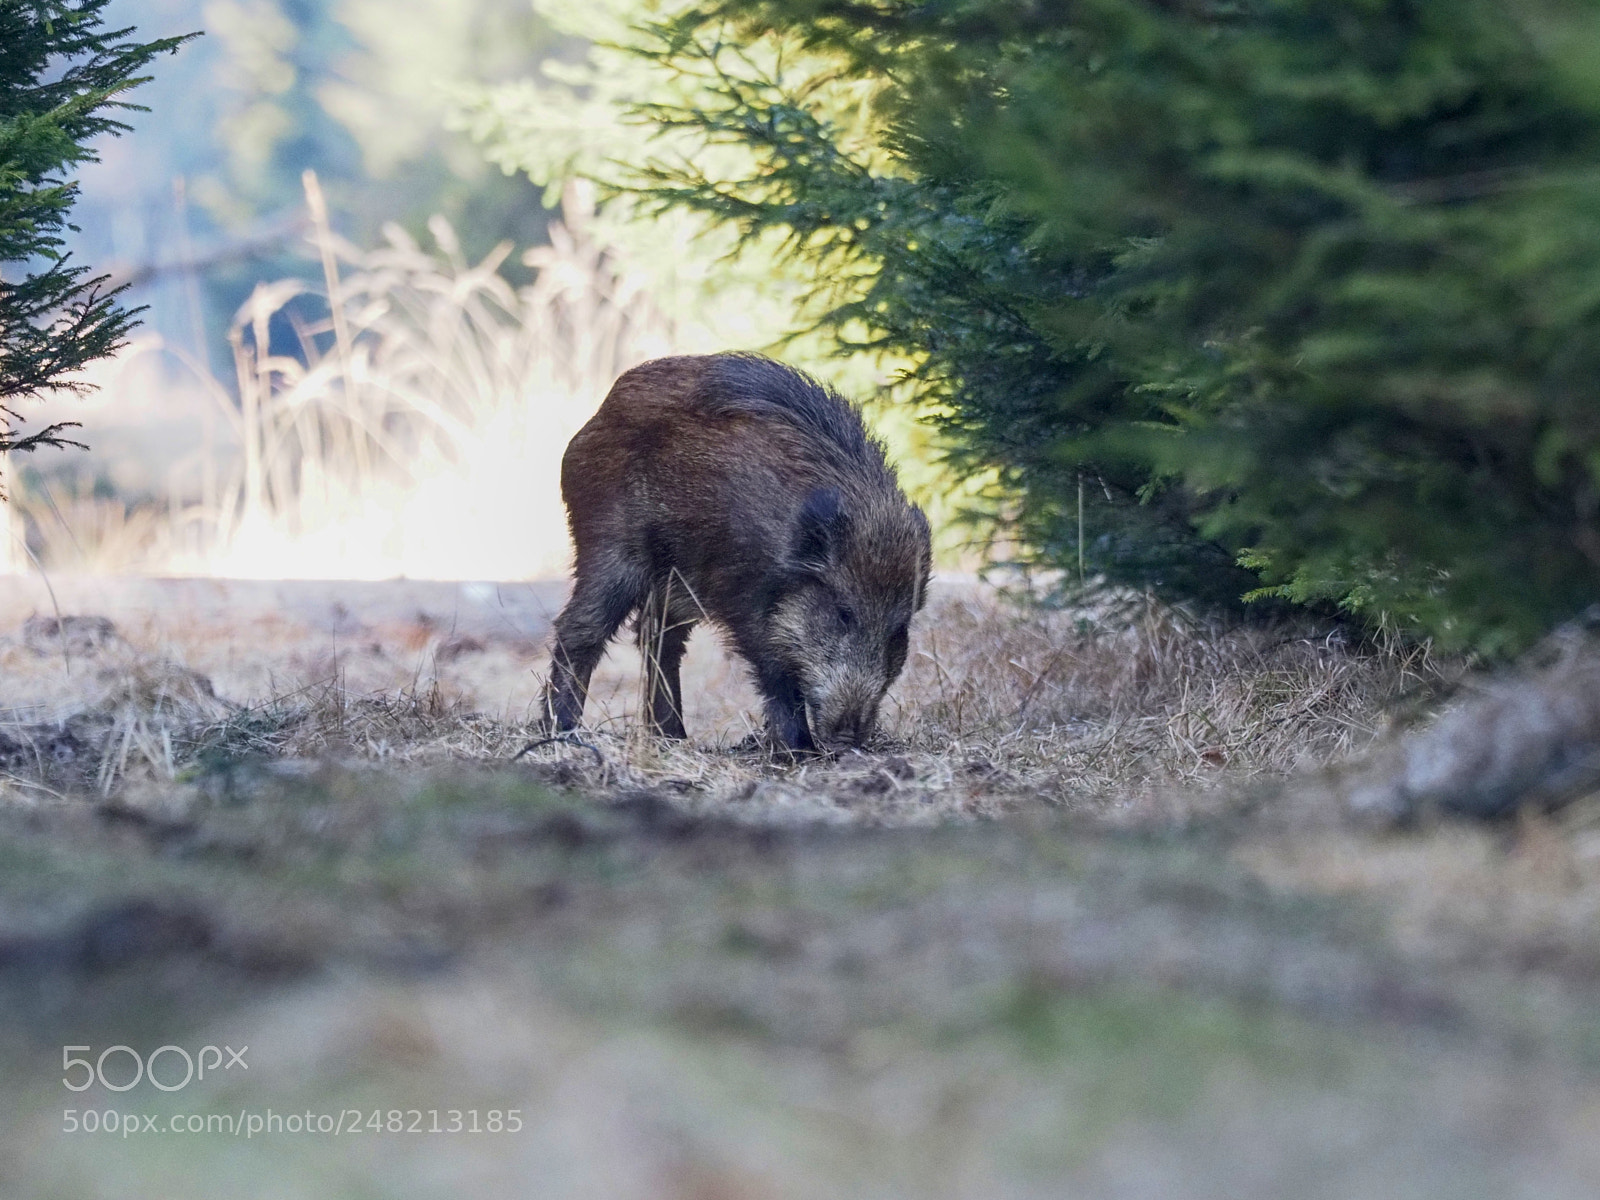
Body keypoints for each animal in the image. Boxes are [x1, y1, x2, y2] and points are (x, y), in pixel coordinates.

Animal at [540, 353, 932, 751]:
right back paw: (563, 731)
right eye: (844, 614)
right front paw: (799, 750)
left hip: (674, 585)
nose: (849, 738)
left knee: (659, 640)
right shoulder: (746, 603)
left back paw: (674, 739)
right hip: (612, 549)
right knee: (581, 628)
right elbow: (776, 674)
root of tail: (594, 421)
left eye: (899, 629)